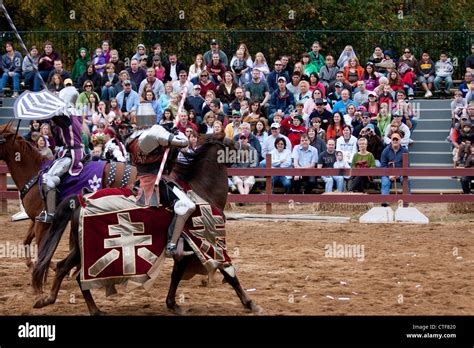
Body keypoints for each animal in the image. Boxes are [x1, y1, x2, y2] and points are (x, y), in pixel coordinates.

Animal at [0, 123, 137, 268]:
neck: (34, 174)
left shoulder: (42, 223)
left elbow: (42, 248)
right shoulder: (36, 219)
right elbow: (27, 240)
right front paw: (31, 263)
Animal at [32, 133, 262, 316]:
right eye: (233, 143)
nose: (253, 154)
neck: (202, 188)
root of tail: (80, 201)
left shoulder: (187, 248)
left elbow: (177, 275)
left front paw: (172, 304)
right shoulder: (208, 241)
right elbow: (229, 272)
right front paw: (250, 303)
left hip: (81, 249)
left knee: (64, 268)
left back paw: (56, 301)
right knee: (77, 274)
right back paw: (84, 307)